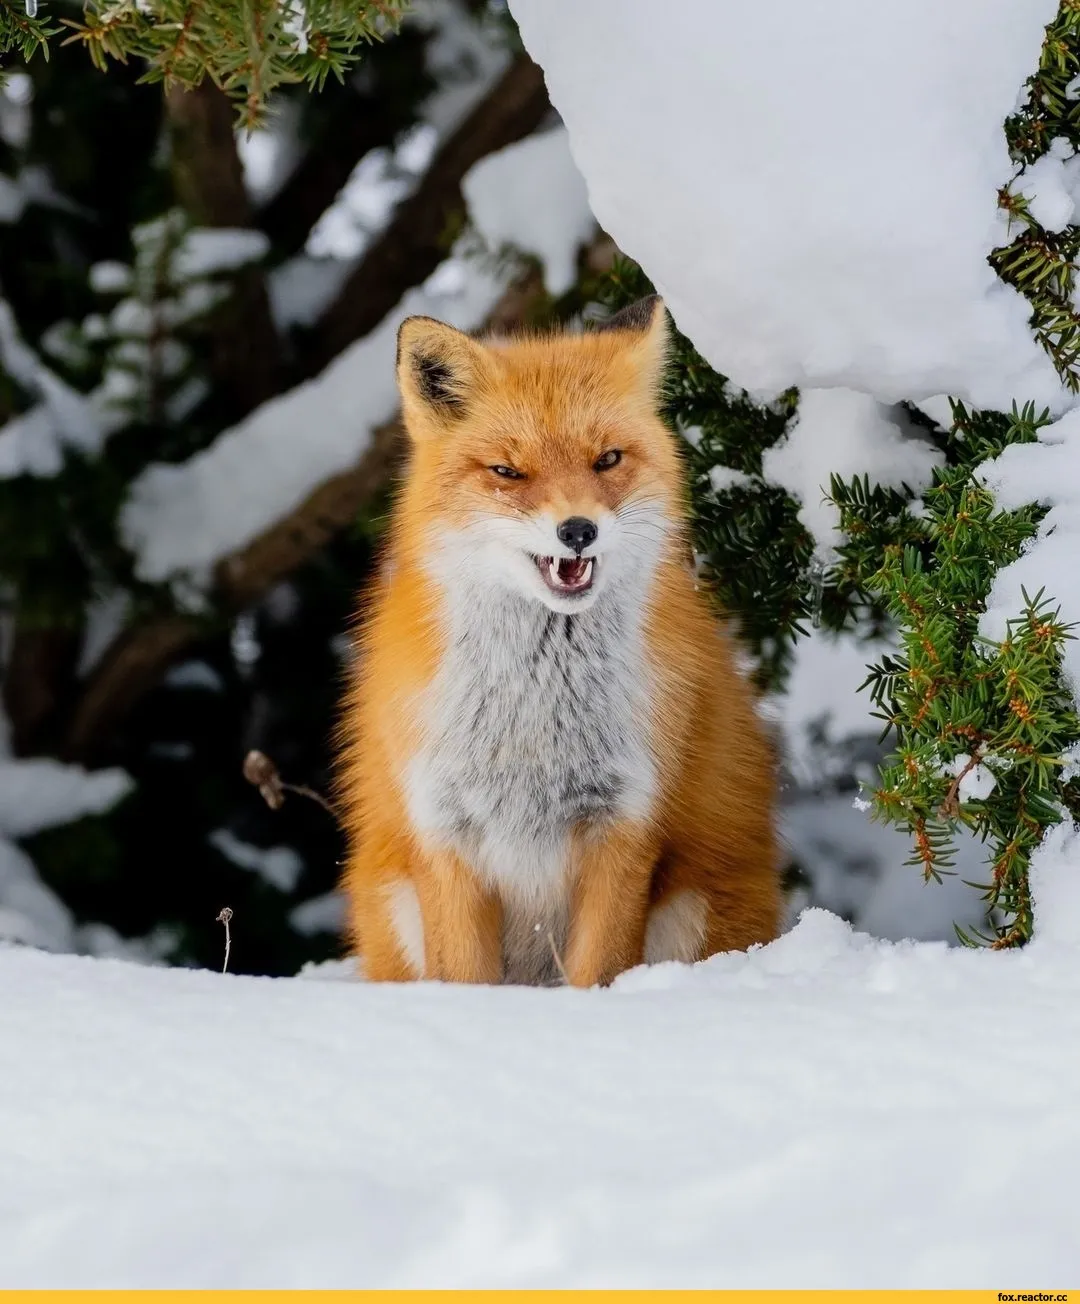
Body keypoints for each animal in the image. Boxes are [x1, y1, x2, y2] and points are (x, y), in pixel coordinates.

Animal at [333, 298, 782, 985]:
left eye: (607, 460)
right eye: (508, 471)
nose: (577, 530)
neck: (533, 719)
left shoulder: (623, 821)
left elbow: (598, 970)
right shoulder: (446, 830)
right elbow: (462, 976)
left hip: (693, 909)